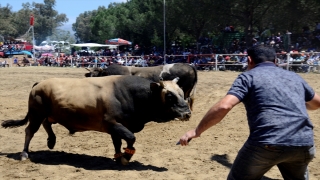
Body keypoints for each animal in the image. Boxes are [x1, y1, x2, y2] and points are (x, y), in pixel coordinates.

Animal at [1, 75, 191, 165]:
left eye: (182, 92)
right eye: (169, 96)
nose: (187, 113)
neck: (131, 94)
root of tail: (39, 84)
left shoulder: (116, 127)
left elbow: (118, 143)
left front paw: (119, 157)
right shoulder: (113, 124)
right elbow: (131, 138)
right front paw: (125, 158)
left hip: (47, 113)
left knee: (47, 123)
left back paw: (51, 140)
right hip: (36, 113)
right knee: (30, 131)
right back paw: (24, 153)